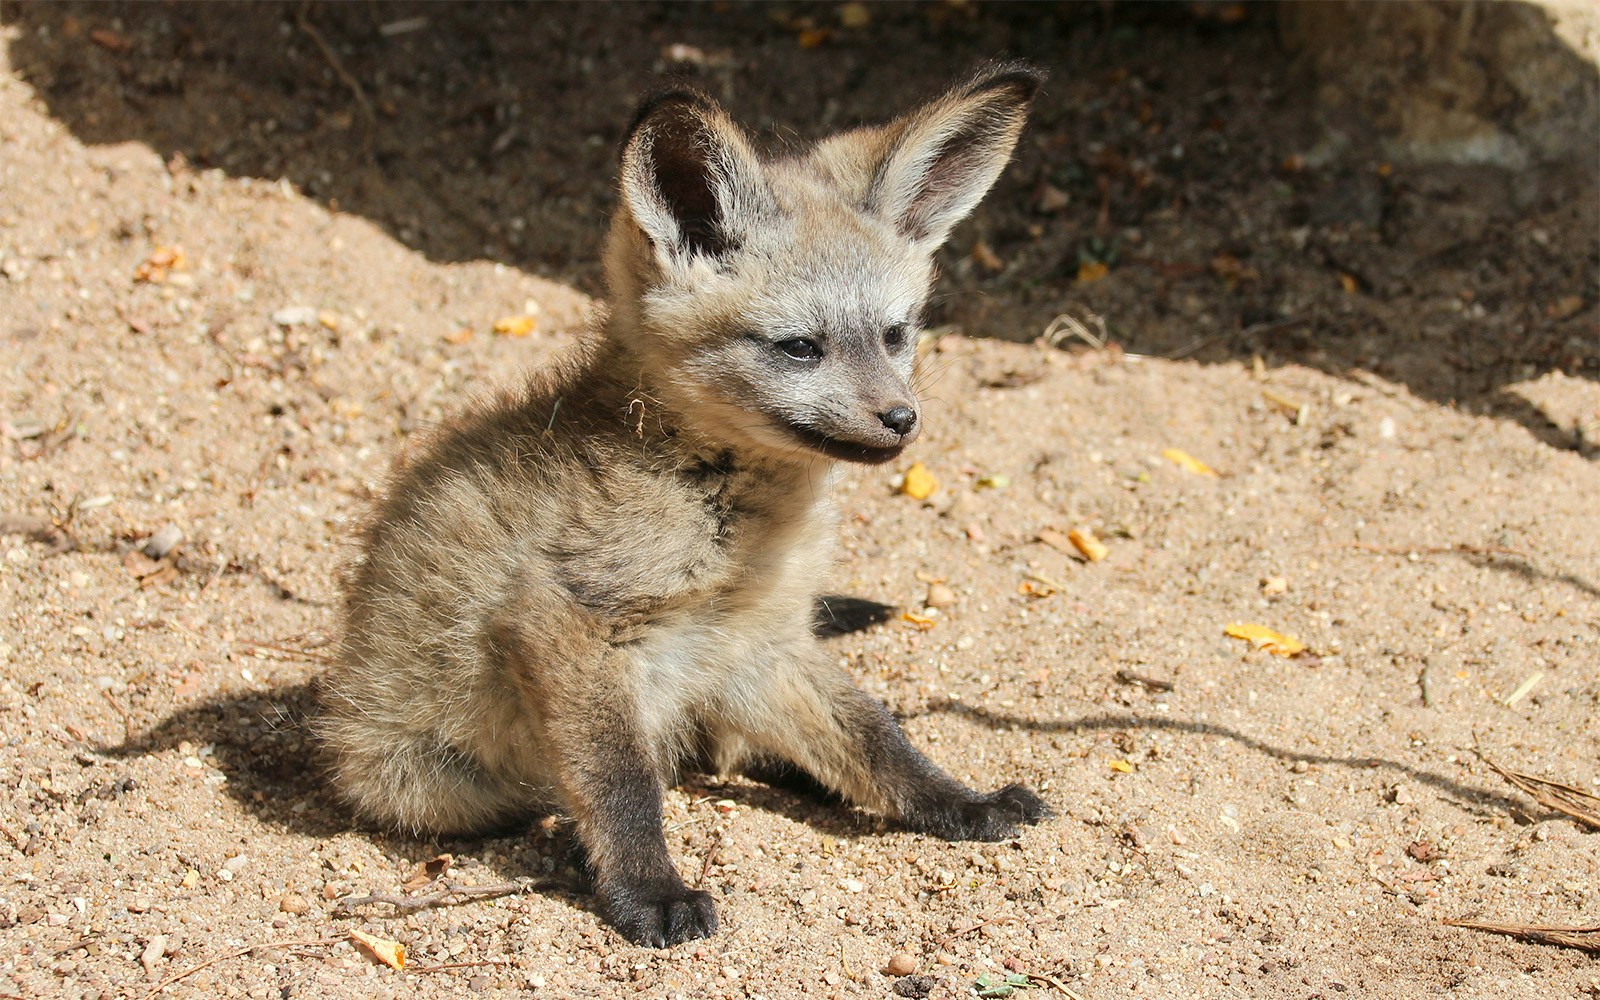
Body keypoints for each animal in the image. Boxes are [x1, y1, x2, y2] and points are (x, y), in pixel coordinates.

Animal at [317, 63, 1049, 947]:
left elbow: (878, 737)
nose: (901, 420)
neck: (722, 517)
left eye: (896, 334)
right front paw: (648, 889)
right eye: (799, 347)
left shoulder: (761, 641)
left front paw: (958, 802)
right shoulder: (565, 624)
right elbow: (623, 783)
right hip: (427, 782)